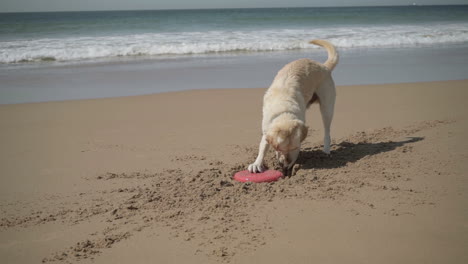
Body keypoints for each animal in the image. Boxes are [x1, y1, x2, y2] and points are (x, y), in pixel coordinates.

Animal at [247, 39, 338, 174]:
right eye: (279, 148)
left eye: (295, 147)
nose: (285, 168)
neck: (284, 109)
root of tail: (324, 66)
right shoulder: (266, 129)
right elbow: (263, 146)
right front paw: (257, 163)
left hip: (327, 107)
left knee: (327, 131)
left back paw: (326, 150)